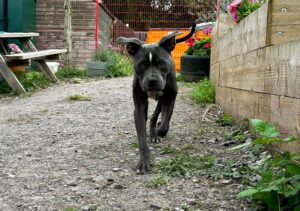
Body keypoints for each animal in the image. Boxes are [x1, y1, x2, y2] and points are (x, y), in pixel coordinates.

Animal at [117, 23, 197, 174]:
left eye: (162, 64)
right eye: (141, 65)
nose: (152, 81)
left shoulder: (170, 98)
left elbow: (165, 124)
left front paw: (159, 129)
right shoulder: (139, 107)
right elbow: (141, 137)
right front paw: (144, 161)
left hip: (162, 100)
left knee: (157, 116)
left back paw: (155, 132)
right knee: (152, 116)